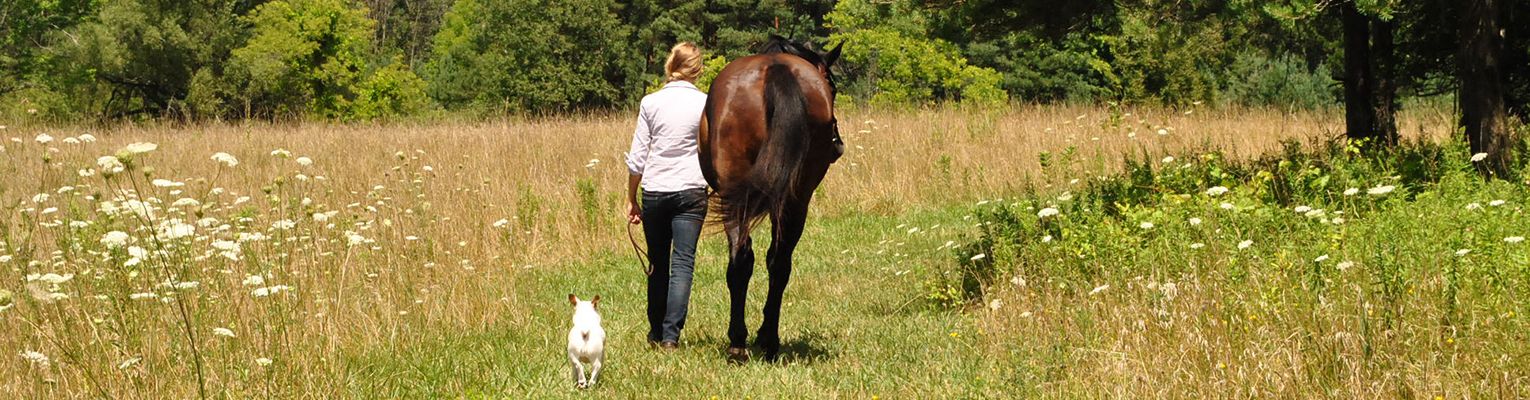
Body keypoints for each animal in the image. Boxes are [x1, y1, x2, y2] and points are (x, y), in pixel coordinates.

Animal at [700, 36, 844, 361]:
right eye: (834, 88)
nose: (838, 145)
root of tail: (776, 70)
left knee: (747, 260)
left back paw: (746, 341)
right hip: (793, 200)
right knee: (774, 262)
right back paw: (758, 341)